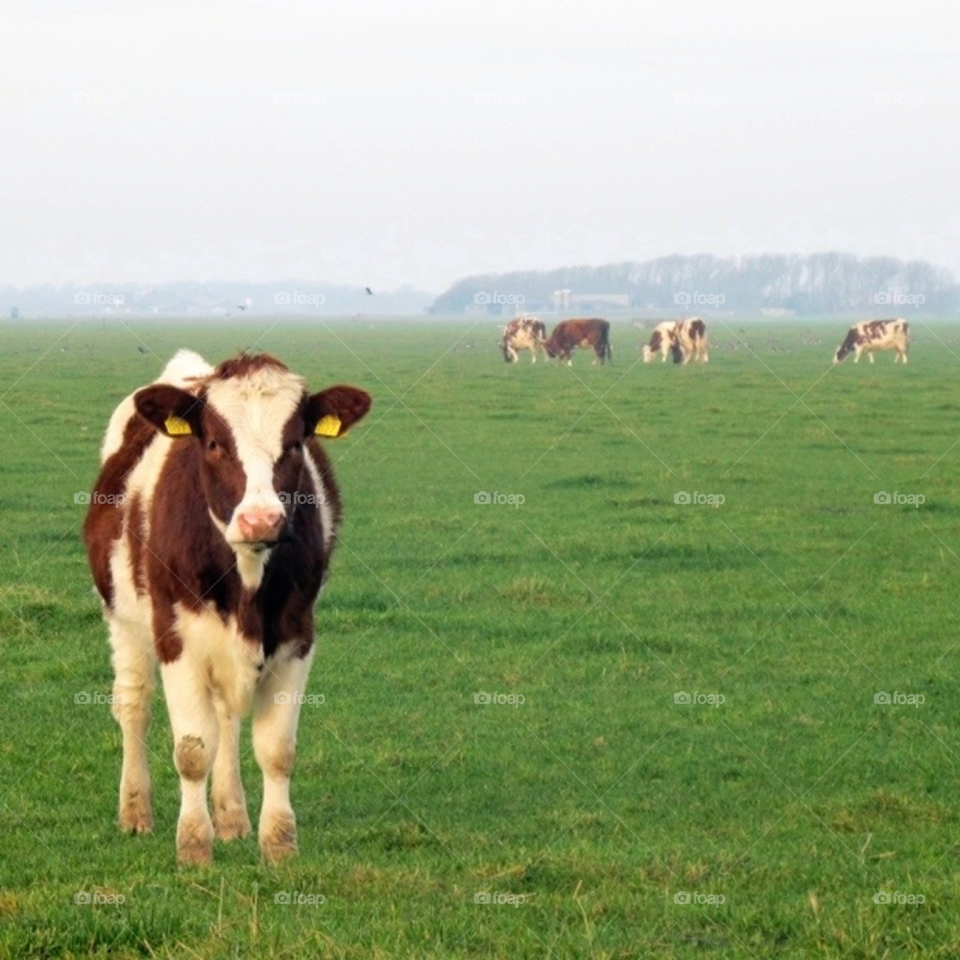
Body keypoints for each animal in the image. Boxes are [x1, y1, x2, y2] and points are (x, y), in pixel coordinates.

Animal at [83, 348, 372, 868]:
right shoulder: (176, 641)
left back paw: (233, 815)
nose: (260, 520)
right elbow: (192, 751)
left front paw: (278, 843)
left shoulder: (298, 637)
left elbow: (276, 749)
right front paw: (194, 844)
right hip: (123, 620)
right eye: (215, 443)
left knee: (226, 719)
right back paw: (135, 812)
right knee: (134, 706)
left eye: (295, 443)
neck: (246, 575)